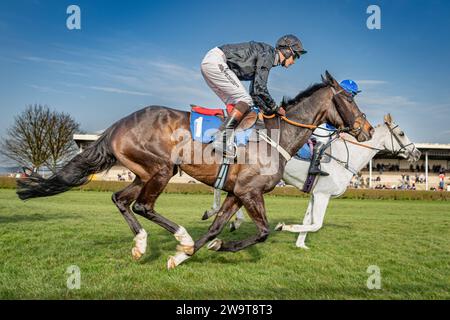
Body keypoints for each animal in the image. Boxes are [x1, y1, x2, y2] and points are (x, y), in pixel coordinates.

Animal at [16, 71, 372, 268]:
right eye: (350, 100)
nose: (366, 129)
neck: (278, 135)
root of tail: (119, 124)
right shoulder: (250, 191)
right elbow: (262, 232)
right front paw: (208, 246)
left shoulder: (237, 192)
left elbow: (216, 227)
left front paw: (184, 255)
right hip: (160, 169)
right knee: (143, 205)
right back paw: (179, 235)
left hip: (144, 172)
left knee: (120, 199)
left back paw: (142, 244)